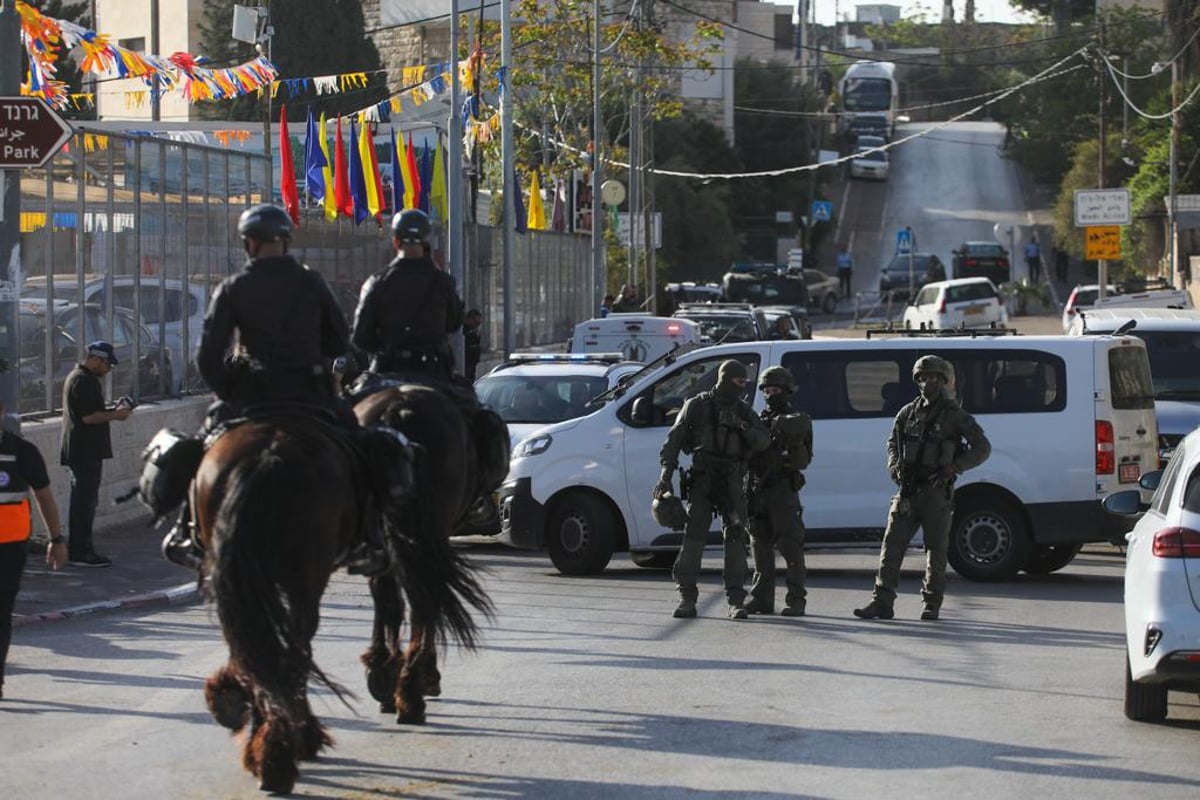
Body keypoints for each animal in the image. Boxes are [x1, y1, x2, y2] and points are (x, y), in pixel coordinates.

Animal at [192, 412, 487, 796]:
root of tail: (264, 458)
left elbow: (389, 601)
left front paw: (386, 677)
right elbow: (414, 605)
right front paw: (412, 682)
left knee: (256, 644)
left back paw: (253, 728)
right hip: (310, 574)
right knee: (295, 647)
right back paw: (285, 750)